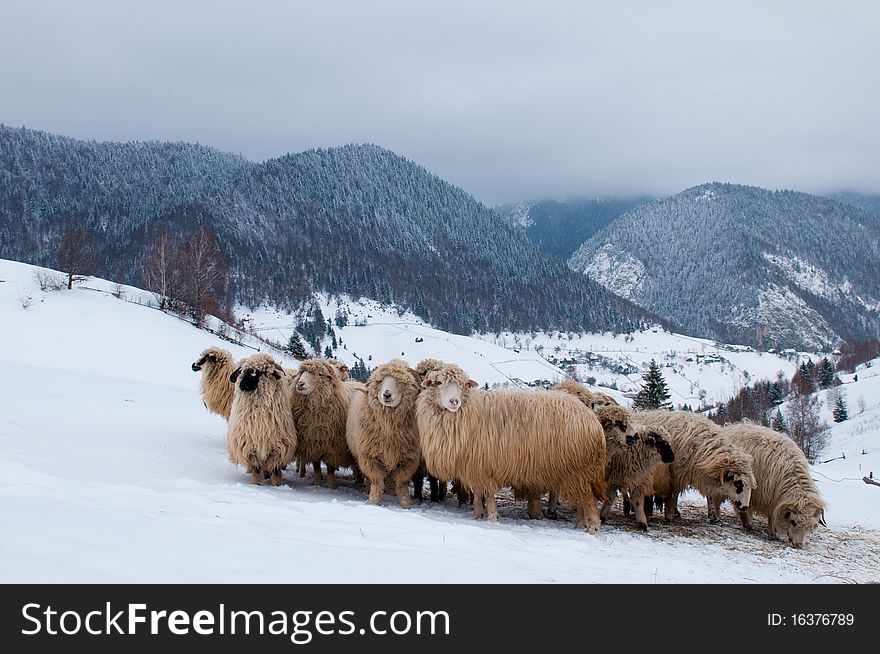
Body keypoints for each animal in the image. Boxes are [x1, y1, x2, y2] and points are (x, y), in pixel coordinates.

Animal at [225, 354, 298, 486]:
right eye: (242, 371)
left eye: (258, 372)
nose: (241, 385)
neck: (260, 421)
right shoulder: (249, 447)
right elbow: (257, 468)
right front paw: (257, 483)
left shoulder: (279, 447)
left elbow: (275, 469)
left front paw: (277, 484)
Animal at [288, 356, 360, 490]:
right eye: (301, 373)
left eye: (320, 374)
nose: (300, 384)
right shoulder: (313, 442)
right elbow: (316, 466)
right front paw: (317, 483)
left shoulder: (333, 445)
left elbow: (331, 468)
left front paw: (331, 485)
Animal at [344, 362, 422, 510]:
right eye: (380, 381)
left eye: (401, 382)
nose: (386, 394)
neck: (388, 427)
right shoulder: (369, 456)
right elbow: (376, 480)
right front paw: (373, 502)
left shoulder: (408, 459)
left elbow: (402, 482)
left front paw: (405, 504)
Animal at [416, 364, 608, 532]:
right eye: (438, 383)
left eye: (463, 384)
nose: (454, 401)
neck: (468, 411)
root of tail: (591, 419)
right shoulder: (473, 465)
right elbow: (477, 492)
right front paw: (477, 514)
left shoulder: (484, 465)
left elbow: (488, 494)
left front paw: (492, 516)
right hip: (575, 473)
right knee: (582, 500)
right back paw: (580, 524)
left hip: (578, 470)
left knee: (588, 500)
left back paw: (593, 526)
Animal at [716, 420, 824, 548]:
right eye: (793, 522)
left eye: (810, 527)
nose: (799, 545)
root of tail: (731, 427)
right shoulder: (768, 497)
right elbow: (771, 516)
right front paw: (772, 533)